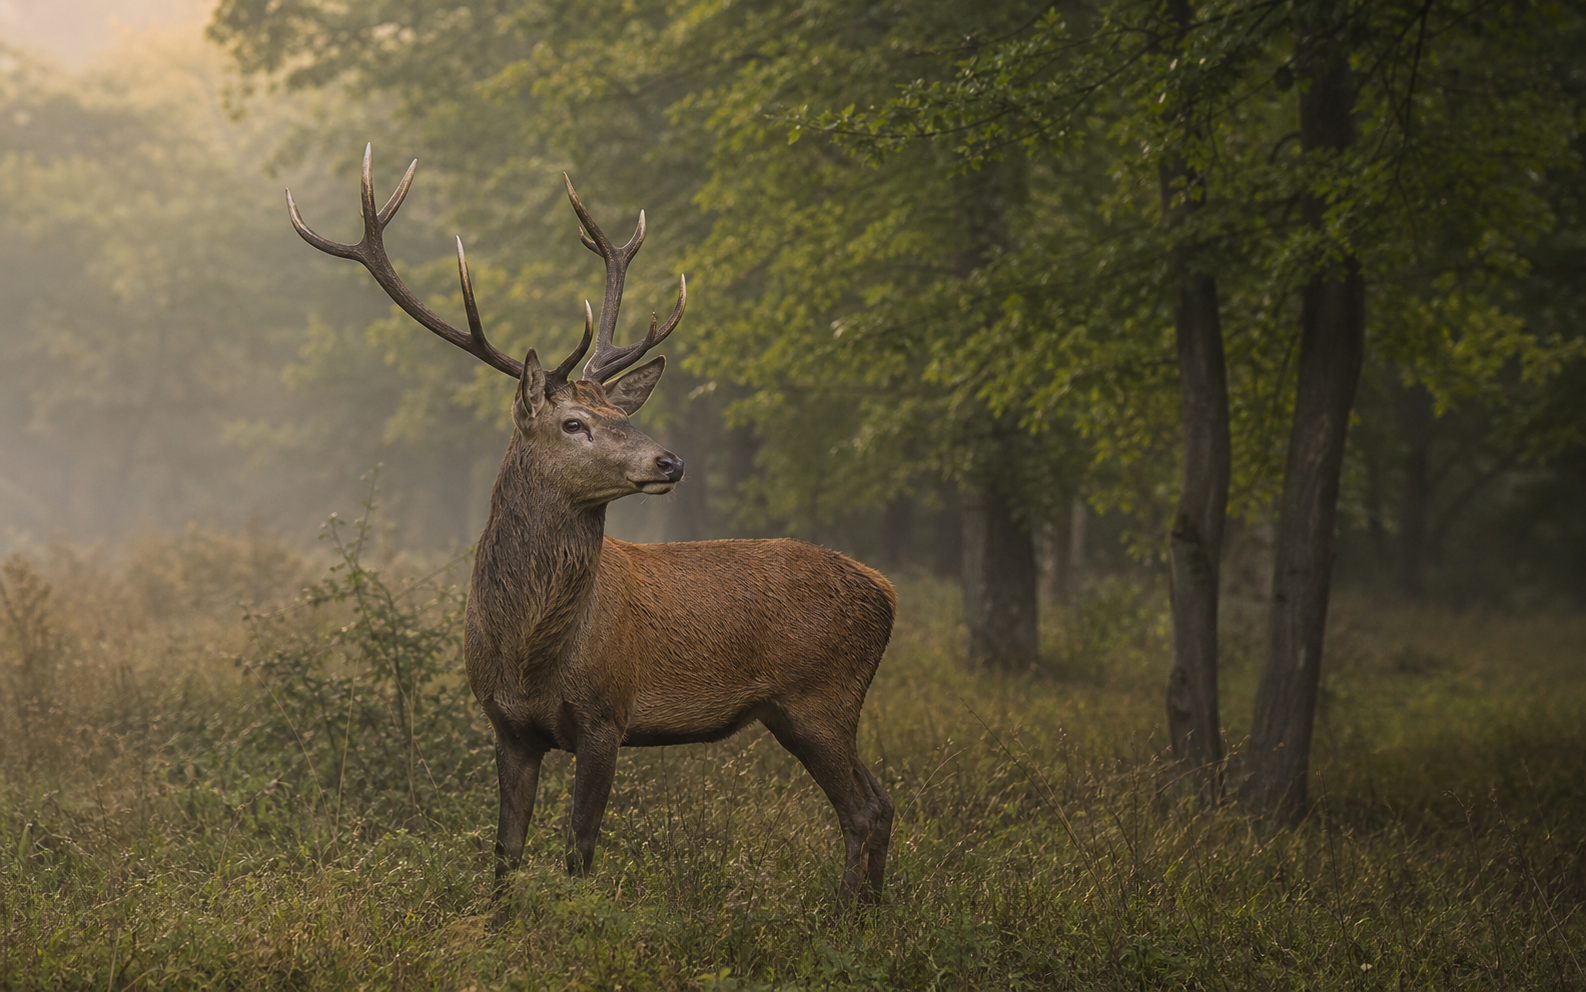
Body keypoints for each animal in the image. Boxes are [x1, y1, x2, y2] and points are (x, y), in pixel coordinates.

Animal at [286, 146, 896, 910]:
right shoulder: (507, 726)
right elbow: (506, 853)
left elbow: (579, 853)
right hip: (803, 708)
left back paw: (845, 920)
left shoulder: (609, 714)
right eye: (575, 422)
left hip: (823, 695)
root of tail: (887, 592)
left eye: (623, 415)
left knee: (864, 808)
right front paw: (498, 925)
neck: (531, 652)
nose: (670, 459)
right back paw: (873, 915)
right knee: (881, 802)